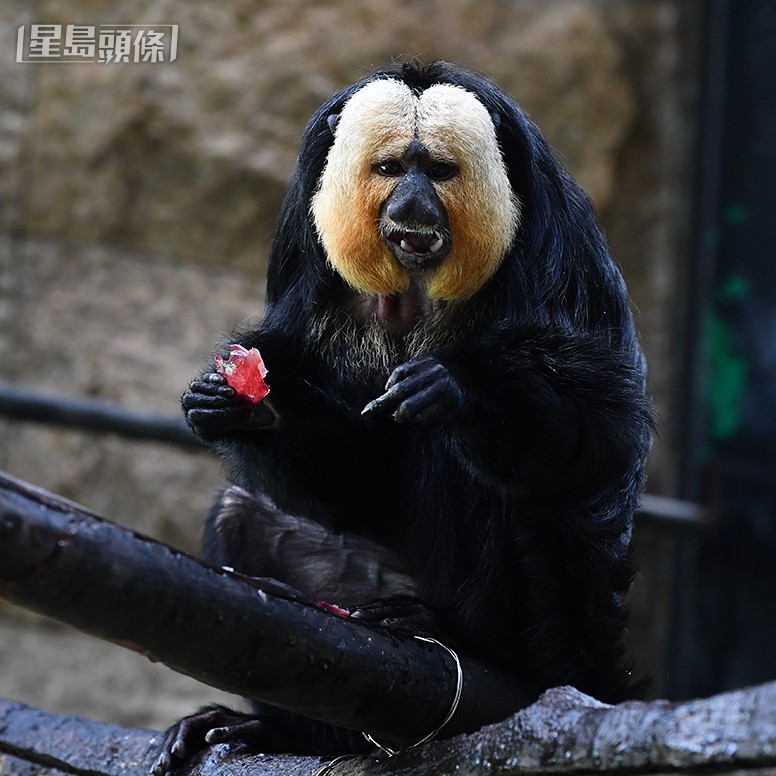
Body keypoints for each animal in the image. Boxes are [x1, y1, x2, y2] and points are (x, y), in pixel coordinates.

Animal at [153, 60, 656, 768]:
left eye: (439, 172)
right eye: (391, 169)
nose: (412, 205)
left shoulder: (561, 252)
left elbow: (603, 437)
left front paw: (461, 390)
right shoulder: (304, 263)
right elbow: (360, 482)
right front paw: (247, 406)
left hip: (555, 632)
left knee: (481, 472)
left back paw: (460, 635)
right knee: (241, 513)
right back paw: (286, 731)